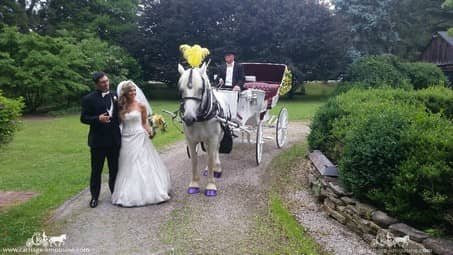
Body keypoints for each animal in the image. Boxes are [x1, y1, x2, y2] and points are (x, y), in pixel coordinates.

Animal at [177, 62, 222, 197]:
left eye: (201, 89)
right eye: (181, 89)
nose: (188, 118)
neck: (201, 117)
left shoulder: (213, 138)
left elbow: (211, 159)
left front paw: (211, 185)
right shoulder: (191, 140)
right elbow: (194, 161)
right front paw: (194, 184)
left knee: (215, 151)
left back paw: (217, 168)